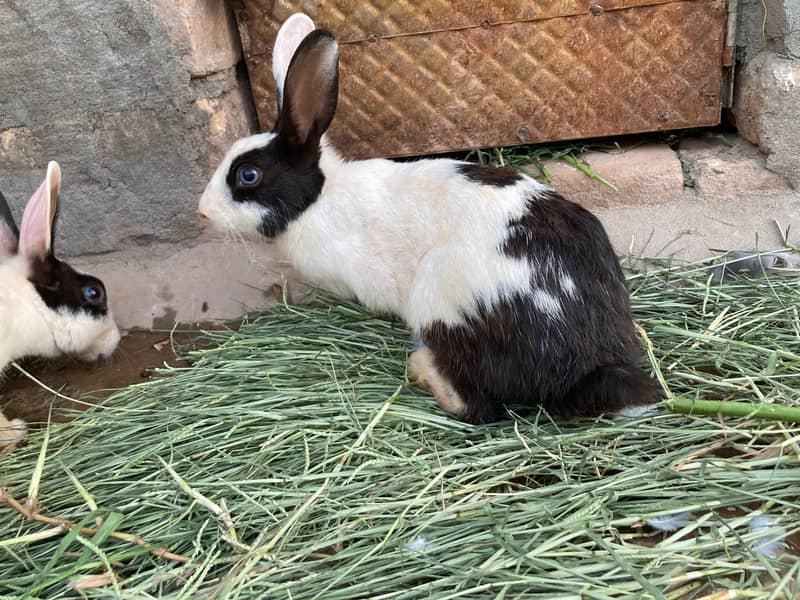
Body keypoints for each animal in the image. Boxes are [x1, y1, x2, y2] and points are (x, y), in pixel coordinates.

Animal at [198, 14, 660, 424]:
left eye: (248, 175)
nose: (202, 212)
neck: (320, 199)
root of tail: (586, 364)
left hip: (440, 306)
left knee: (479, 407)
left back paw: (423, 369)